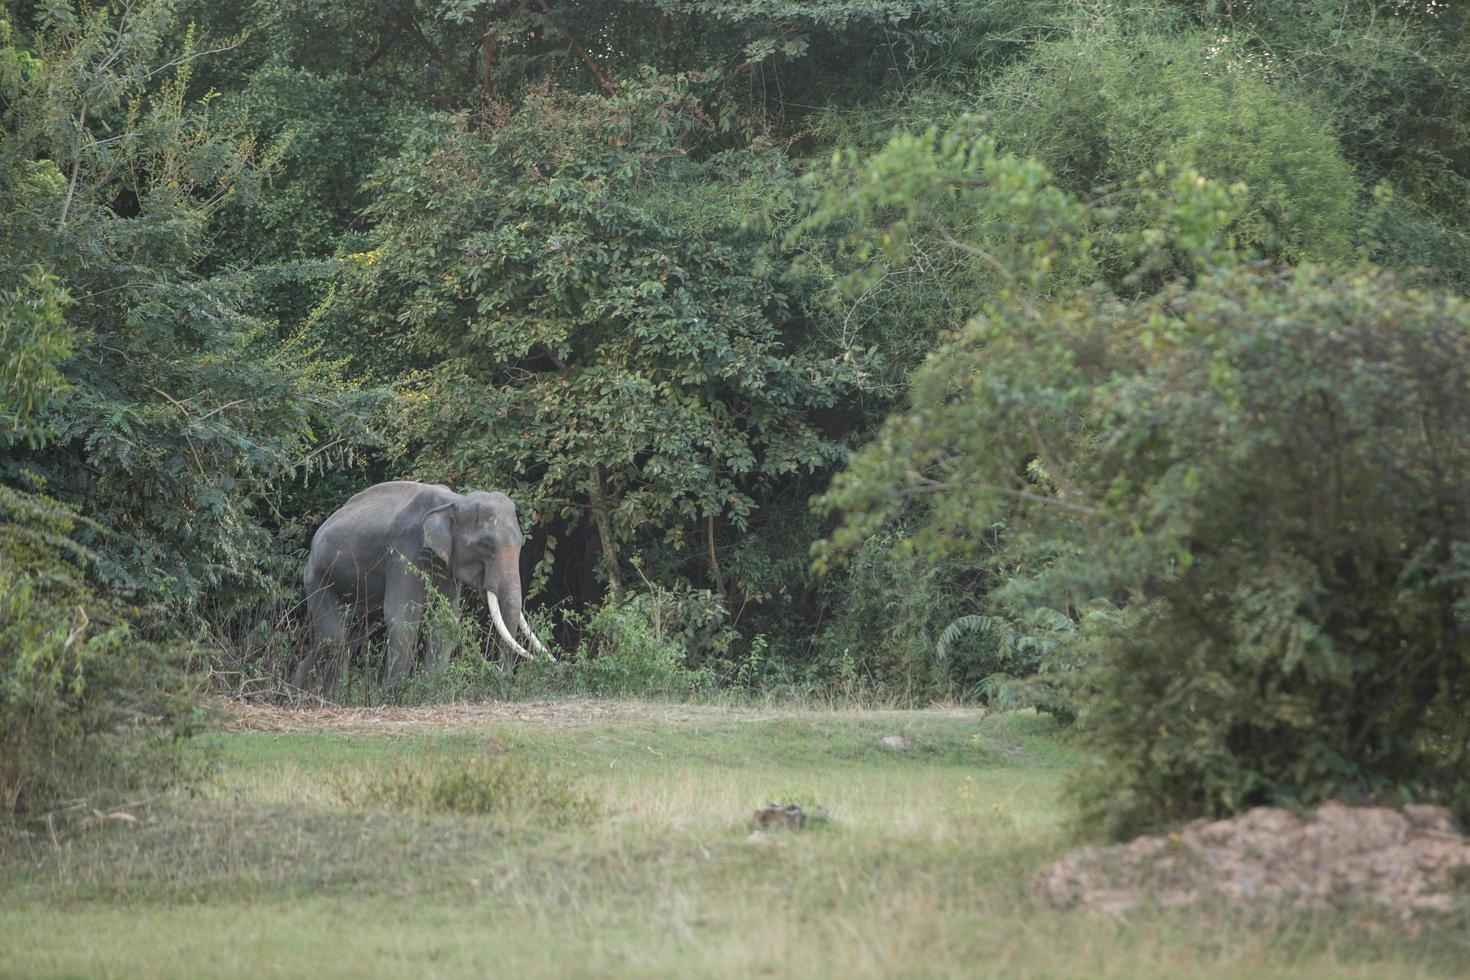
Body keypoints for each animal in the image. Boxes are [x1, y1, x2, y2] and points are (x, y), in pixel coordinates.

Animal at [289, 481, 549, 693]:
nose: (504, 681)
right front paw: (392, 695)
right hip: (317, 575)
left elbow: (444, 620)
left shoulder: (443, 563)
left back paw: (328, 694)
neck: (454, 501)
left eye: (521, 543)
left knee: (349, 638)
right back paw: (303, 693)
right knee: (332, 638)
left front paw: (428, 689)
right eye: (485, 544)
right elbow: (402, 616)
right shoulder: (403, 551)